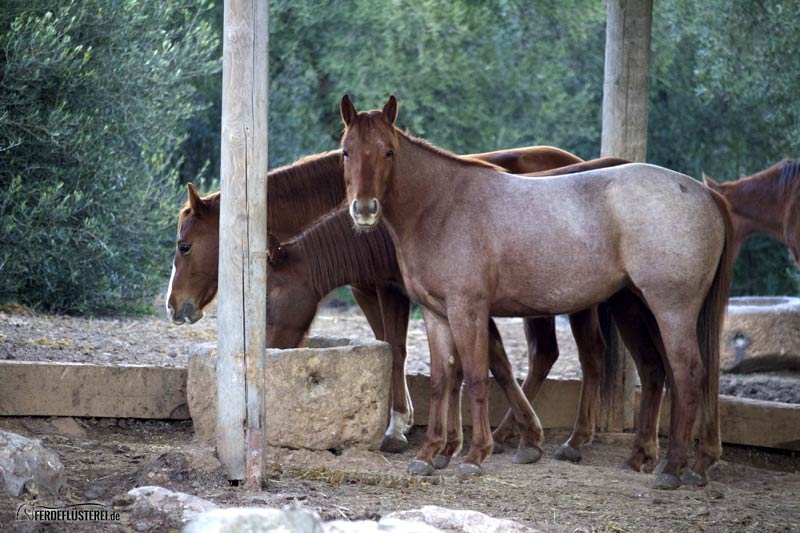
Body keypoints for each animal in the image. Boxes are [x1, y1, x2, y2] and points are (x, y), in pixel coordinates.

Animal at [167, 143, 592, 450]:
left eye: (184, 246)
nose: (173, 306)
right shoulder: (370, 289)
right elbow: (389, 346)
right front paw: (403, 421)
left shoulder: (401, 291)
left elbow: (407, 350)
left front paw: (399, 426)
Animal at [340, 93, 736, 488]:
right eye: (346, 151)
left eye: (388, 151)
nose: (364, 209)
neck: (441, 207)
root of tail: (704, 193)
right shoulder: (436, 313)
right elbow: (442, 381)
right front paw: (428, 455)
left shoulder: (468, 309)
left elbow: (476, 378)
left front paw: (475, 455)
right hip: (643, 307)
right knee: (667, 372)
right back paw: (676, 462)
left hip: (671, 309)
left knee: (688, 374)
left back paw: (672, 468)